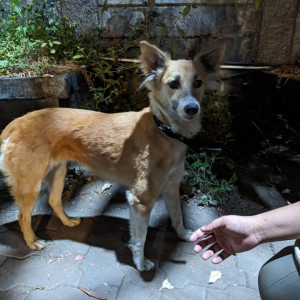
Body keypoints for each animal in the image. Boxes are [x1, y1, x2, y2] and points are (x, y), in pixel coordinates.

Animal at [0, 41, 224, 272]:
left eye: (198, 82)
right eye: (173, 84)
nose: (192, 109)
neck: (164, 130)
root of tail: (17, 121)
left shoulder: (171, 188)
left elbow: (178, 217)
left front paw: (183, 235)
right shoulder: (140, 200)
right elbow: (140, 239)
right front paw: (140, 264)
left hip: (58, 172)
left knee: (53, 200)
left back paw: (68, 222)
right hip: (31, 184)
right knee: (22, 215)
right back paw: (32, 241)